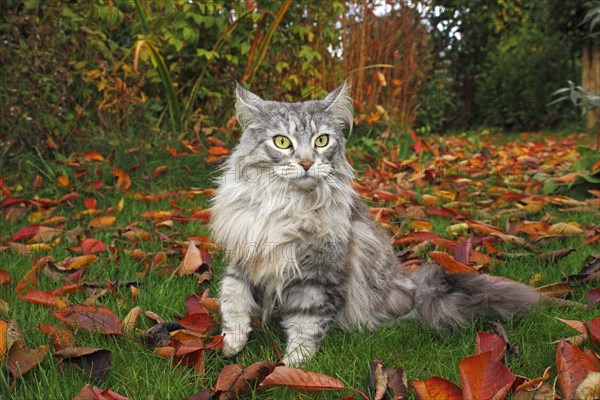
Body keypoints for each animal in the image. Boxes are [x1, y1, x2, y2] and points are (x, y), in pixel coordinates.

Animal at [210, 80, 540, 366]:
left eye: (321, 141)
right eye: (281, 142)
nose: (306, 163)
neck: (287, 206)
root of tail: (414, 284)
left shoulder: (319, 276)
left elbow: (306, 325)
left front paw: (290, 367)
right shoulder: (247, 254)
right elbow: (231, 297)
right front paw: (233, 342)